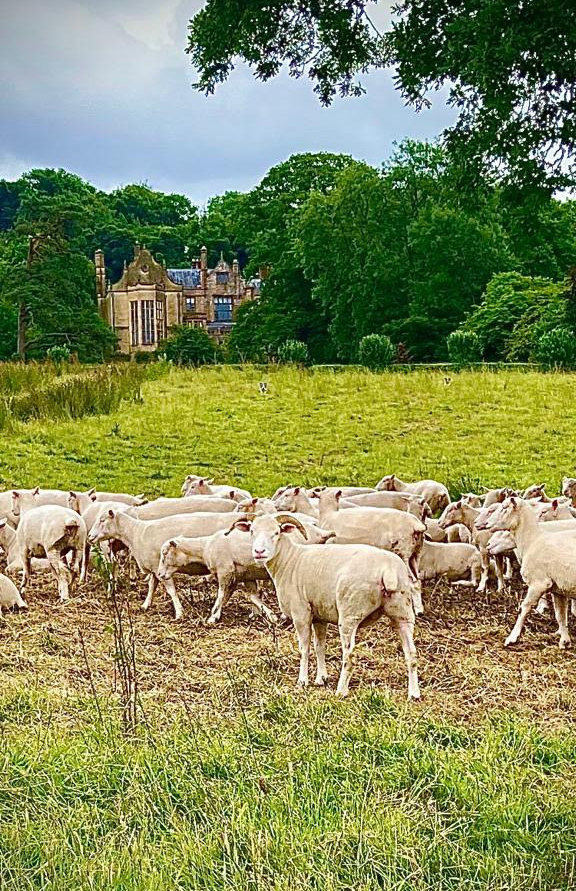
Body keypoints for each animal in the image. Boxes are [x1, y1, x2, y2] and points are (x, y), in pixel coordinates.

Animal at [88, 508, 236, 620]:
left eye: (102, 520)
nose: (89, 536)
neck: (136, 534)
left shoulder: (163, 569)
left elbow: (171, 591)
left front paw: (179, 612)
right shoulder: (155, 568)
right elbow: (151, 586)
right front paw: (146, 605)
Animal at [231, 512, 424, 700]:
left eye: (276, 532)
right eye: (252, 531)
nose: (259, 552)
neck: (289, 560)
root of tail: (388, 570)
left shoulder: (301, 613)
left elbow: (304, 649)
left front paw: (303, 681)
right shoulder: (319, 616)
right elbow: (319, 646)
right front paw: (321, 678)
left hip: (350, 614)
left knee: (349, 654)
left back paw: (341, 690)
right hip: (403, 612)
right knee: (412, 653)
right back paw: (414, 693)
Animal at [480, 494, 576, 648]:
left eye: (504, 508)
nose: (487, 523)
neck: (532, 541)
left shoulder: (539, 583)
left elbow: (523, 608)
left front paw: (512, 637)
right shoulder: (558, 589)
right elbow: (560, 614)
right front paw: (564, 641)